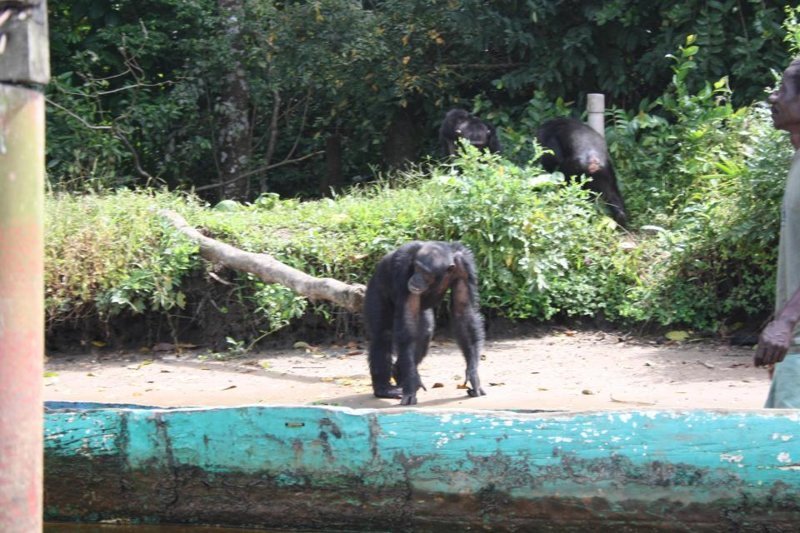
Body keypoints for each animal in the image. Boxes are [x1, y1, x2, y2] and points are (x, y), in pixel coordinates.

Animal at [364, 239, 488, 406]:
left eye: (426, 273)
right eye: (416, 268)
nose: (415, 278)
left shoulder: (464, 268)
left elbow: (463, 312)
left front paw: (473, 376)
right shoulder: (403, 269)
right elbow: (408, 321)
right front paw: (411, 384)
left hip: (424, 313)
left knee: (424, 335)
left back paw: (398, 373)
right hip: (375, 290)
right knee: (382, 336)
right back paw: (385, 389)